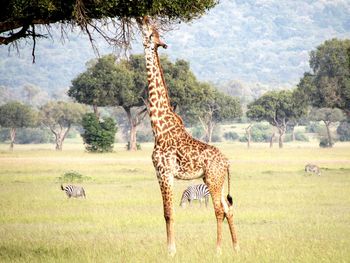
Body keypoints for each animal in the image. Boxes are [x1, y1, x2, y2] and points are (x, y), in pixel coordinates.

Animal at [137, 16, 238, 256]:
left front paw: (170, 251)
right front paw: (171, 248)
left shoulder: (164, 172)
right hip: (217, 180)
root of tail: (227, 163)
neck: (158, 127)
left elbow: (168, 213)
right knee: (228, 209)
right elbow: (167, 212)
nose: (142, 17)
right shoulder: (163, 174)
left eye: (149, 30)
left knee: (219, 210)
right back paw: (236, 247)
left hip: (212, 179)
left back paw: (218, 250)